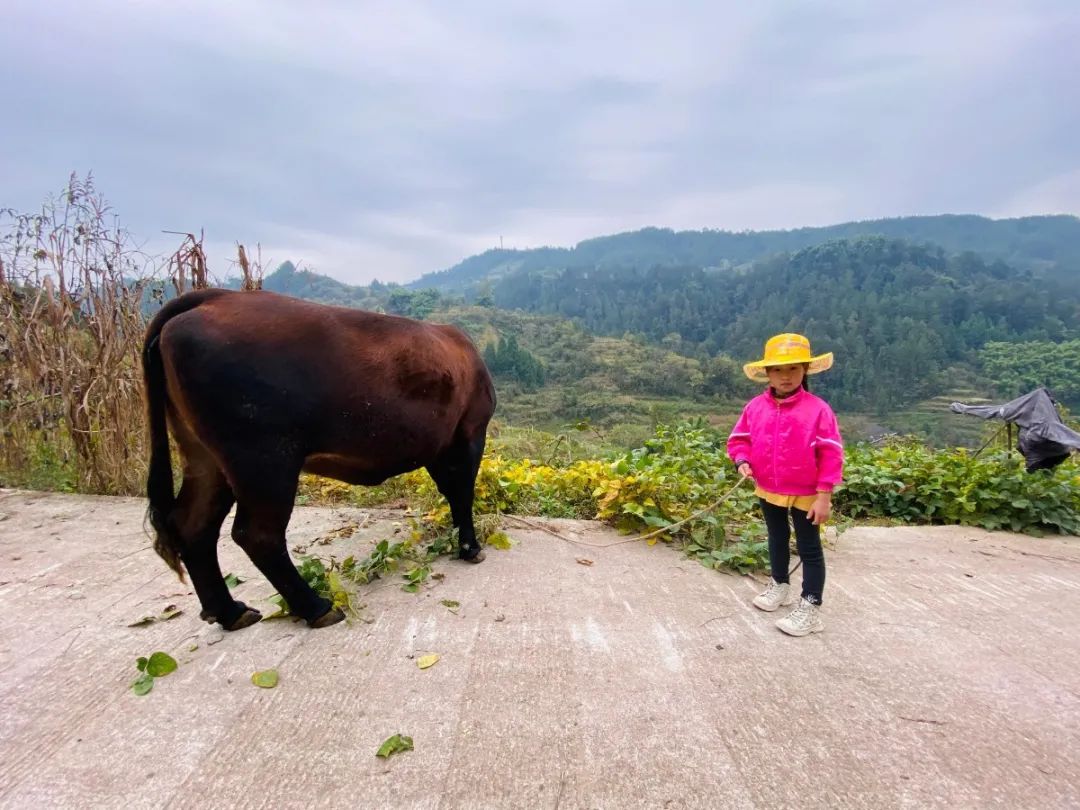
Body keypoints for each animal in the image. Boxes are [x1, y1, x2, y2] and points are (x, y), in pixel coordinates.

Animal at [141, 291, 494, 635]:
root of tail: (213, 297)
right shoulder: (470, 432)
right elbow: (462, 493)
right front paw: (470, 547)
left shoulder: (441, 447)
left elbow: (451, 492)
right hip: (263, 458)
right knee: (257, 534)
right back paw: (317, 607)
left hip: (207, 458)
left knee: (193, 525)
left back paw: (229, 612)